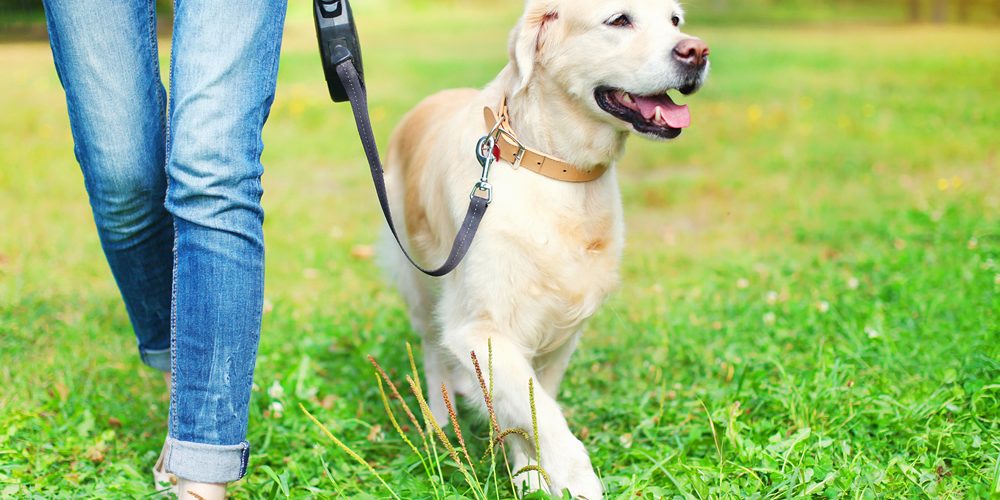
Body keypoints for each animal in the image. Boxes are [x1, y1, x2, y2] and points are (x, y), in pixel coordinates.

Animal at [378, 0, 708, 496]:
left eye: (675, 21)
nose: (697, 51)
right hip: (420, 284)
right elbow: (547, 420)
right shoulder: (480, 327)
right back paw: (439, 423)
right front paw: (577, 484)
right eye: (619, 20)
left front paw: (529, 471)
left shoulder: (560, 331)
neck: (555, 168)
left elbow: (532, 407)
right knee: (433, 353)